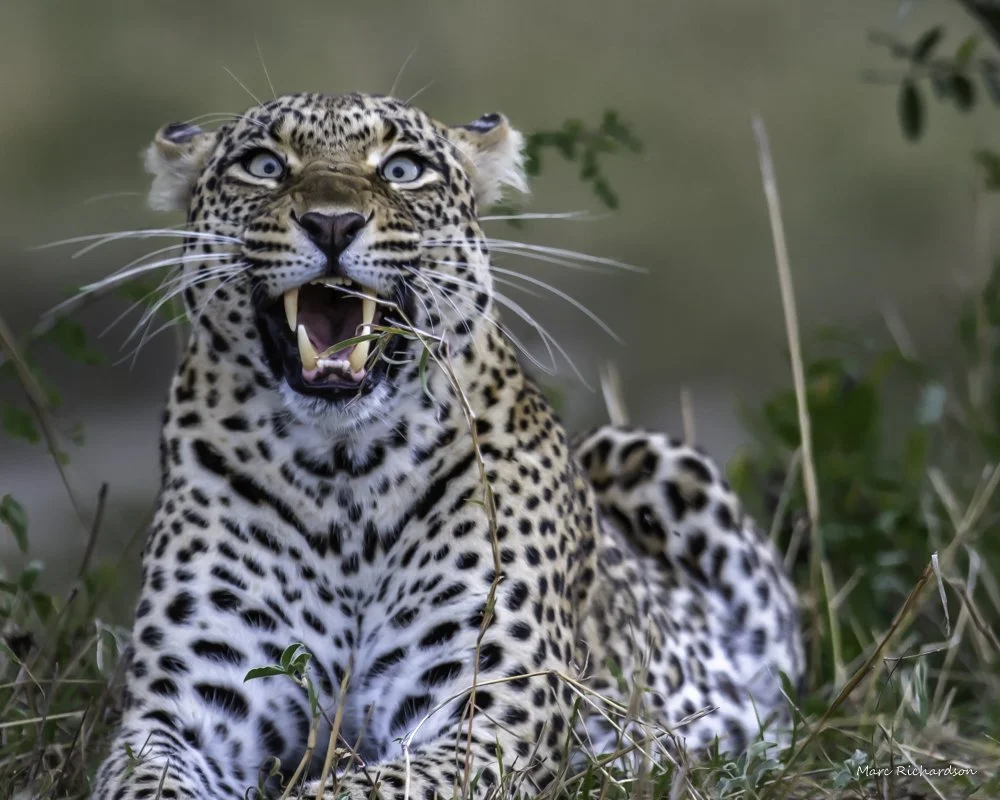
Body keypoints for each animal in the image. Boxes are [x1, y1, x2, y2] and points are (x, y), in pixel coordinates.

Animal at [89, 91, 804, 799]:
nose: (331, 224)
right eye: (264, 165)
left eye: (403, 169)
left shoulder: (487, 716)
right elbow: (147, 782)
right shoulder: (182, 713)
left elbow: (362, 788)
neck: (341, 472)